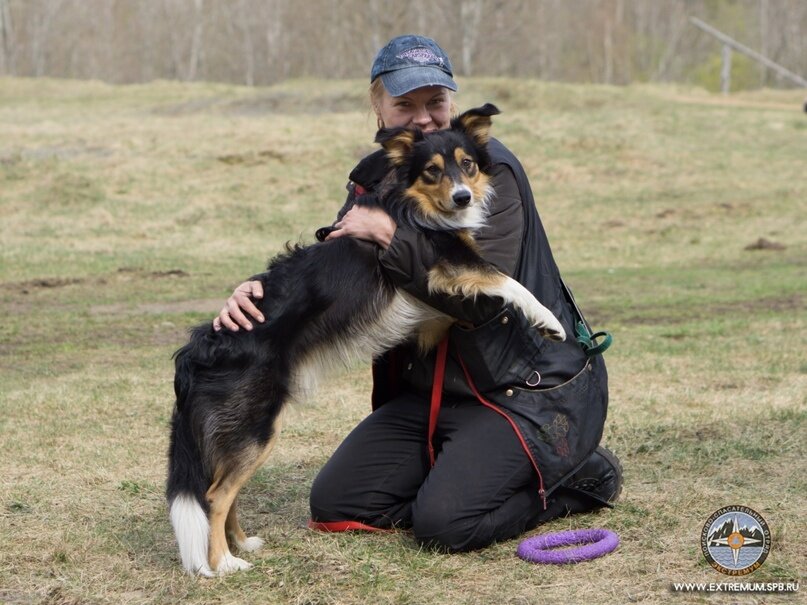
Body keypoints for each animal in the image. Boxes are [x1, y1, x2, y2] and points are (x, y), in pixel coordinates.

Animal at [167, 104, 564, 576]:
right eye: (432, 171)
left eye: (466, 164)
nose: (463, 197)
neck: (413, 202)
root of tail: (196, 351)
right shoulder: (445, 262)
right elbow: (508, 280)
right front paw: (549, 320)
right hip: (256, 425)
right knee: (214, 495)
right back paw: (223, 564)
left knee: (224, 490)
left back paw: (242, 544)